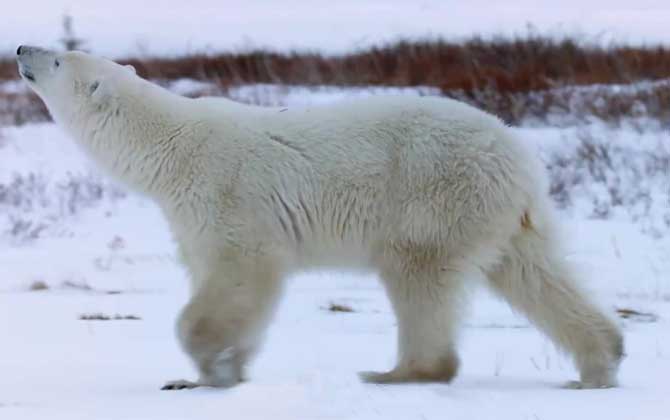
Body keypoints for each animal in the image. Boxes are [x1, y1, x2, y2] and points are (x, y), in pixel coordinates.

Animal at [15, 46, 624, 390]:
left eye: (59, 58)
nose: (20, 46)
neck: (172, 146)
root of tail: (519, 155)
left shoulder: (229, 196)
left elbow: (242, 272)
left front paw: (209, 364)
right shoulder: (190, 216)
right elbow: (226, 282)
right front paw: (217, 372)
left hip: (434, 193)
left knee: (418, 274)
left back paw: (399, 372)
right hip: (500, 216)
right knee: (534, 274)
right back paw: (599, 363)